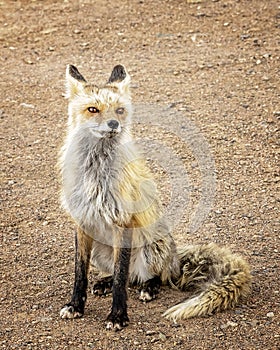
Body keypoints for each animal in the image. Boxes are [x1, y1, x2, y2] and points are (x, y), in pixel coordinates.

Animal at [59, 64, 252, 330]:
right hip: (101, 250)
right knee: (129, 276)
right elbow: (81, 274)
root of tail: (175, 257)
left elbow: (120, 279)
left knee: (150, 277)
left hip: (152, 249)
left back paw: (148, 289)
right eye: (93, 109)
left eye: (120, 110)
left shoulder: (124, 221)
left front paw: (118, 316)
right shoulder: (82, 221)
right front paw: (76, 306)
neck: (96, 174)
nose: (113, 124)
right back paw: (104, 282)